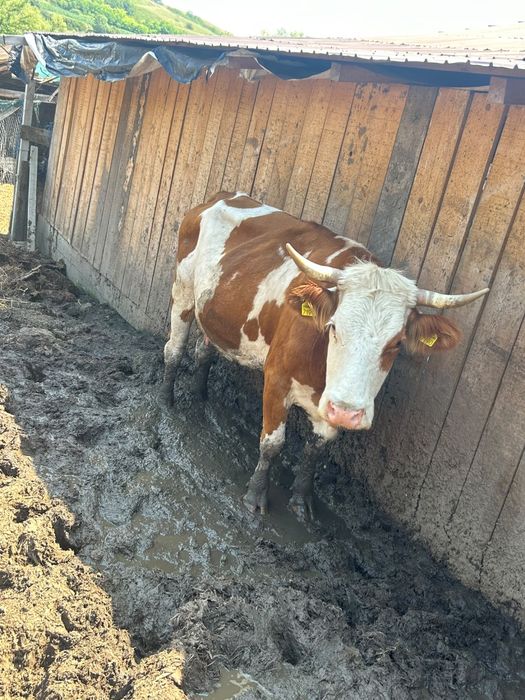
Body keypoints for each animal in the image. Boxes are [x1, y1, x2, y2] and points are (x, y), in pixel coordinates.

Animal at [162, 191, 489, 518]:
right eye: (333, 327)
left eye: (397, 343)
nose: (348, 412)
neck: (321, 372)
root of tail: (225, 196)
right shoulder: (276, 378)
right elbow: (272, 442)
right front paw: (255, 495)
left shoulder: (331, 405)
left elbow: (315, 449)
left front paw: (301, 499)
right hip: (183, 290)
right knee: (174, 350)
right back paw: (167, 402)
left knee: (204, 350)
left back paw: (200, 397)